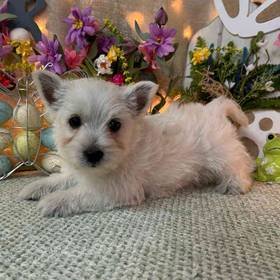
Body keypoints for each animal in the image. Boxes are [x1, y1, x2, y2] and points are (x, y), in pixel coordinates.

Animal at [18, 70, 253, 217]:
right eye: (74, 121)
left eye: (115, 124)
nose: (93, 154)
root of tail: (214, 108)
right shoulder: (79, 172)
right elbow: (60, 180)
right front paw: (34, 188)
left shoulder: (115, 190)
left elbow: (78, 194)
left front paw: (53, 201)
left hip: (223, 154)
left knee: (241, 165)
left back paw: (234, 184)